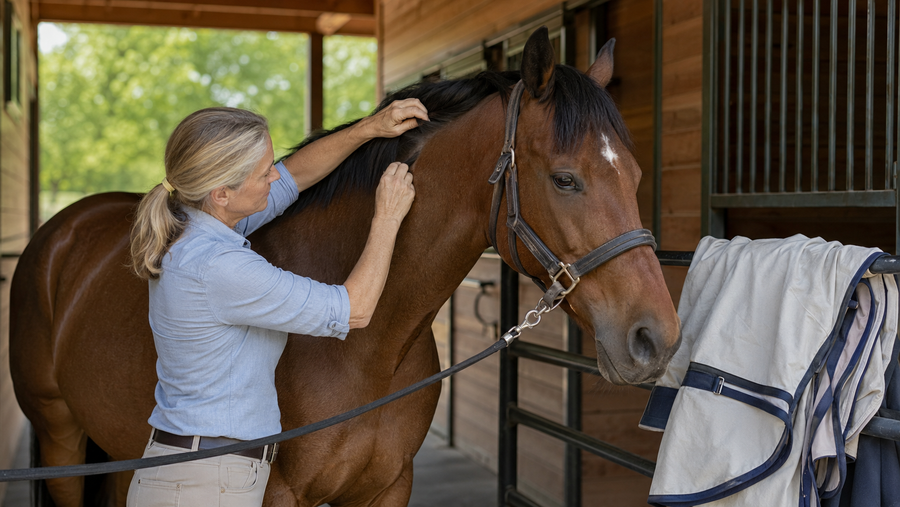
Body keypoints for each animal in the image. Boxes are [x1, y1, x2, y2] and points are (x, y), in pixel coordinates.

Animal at [9, 27, 681, 507]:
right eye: (565, 179)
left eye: (634, 176)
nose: (656, 339)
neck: (368, 351)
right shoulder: (278, 494)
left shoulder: (388, 488)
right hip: (60, 438)